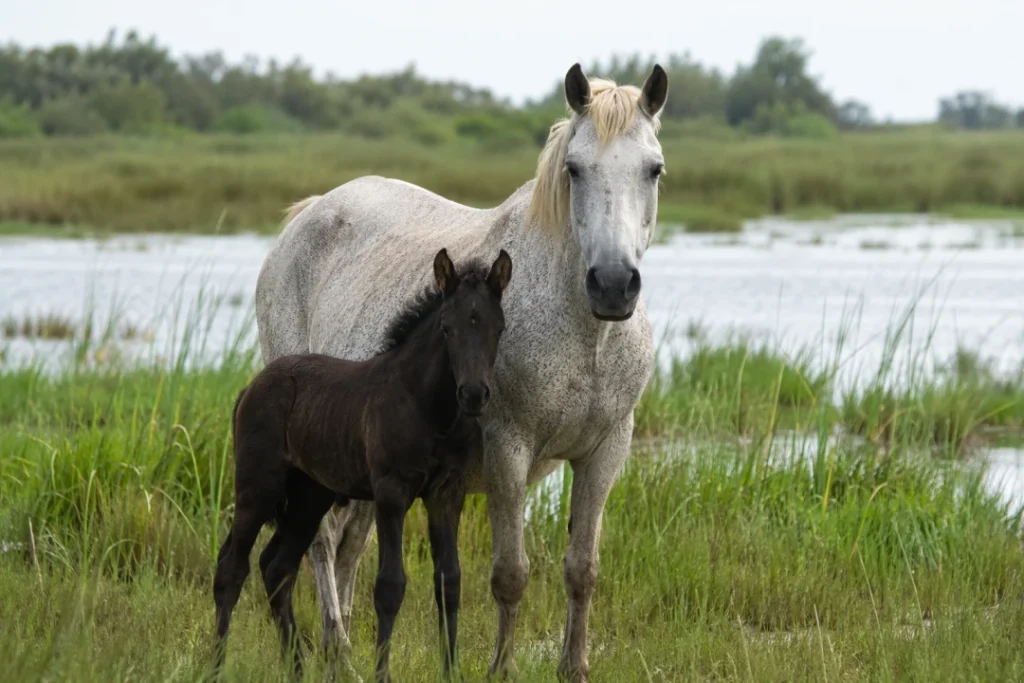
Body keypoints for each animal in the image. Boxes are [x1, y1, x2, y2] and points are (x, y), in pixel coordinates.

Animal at [214, 248, 513, 683]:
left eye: (498, 328)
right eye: (446, 328)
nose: (474, 394)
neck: (430, 408)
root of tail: (250, 388)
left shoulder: (447, 493)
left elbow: (450, 582)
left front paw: (451, 671)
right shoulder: (391, 492)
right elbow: (390, 585)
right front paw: (382, 674)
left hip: (309, 496)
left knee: (277, 567)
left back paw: (297, 668)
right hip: (258, 488)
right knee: (231, 569)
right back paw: (214, 666)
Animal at [254, 62, 668, 682]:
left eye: (654, 169)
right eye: (574, 169)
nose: (614, 285)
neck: (585, 337)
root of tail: (308, 215)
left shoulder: (606, 452)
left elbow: (582, 569)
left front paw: (574, 667)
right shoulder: (507, 452)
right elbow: (510, 574)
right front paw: (501, 668)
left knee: (350, 546)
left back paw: (338, 646)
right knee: (323, 544)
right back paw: (342, 650)